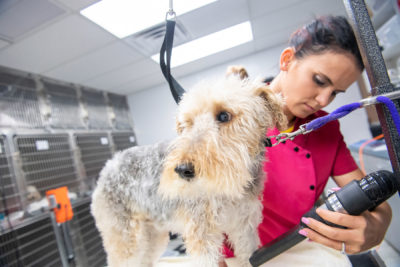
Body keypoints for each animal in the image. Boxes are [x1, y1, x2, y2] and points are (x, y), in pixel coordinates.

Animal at [91, 68, 284, 266]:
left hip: (151, 235)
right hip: (125, 239)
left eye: (224, 116)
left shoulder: (244, 226)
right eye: (187, 123)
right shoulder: (202, 235)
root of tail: (108, 167)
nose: (182, 170)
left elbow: (247, 256)